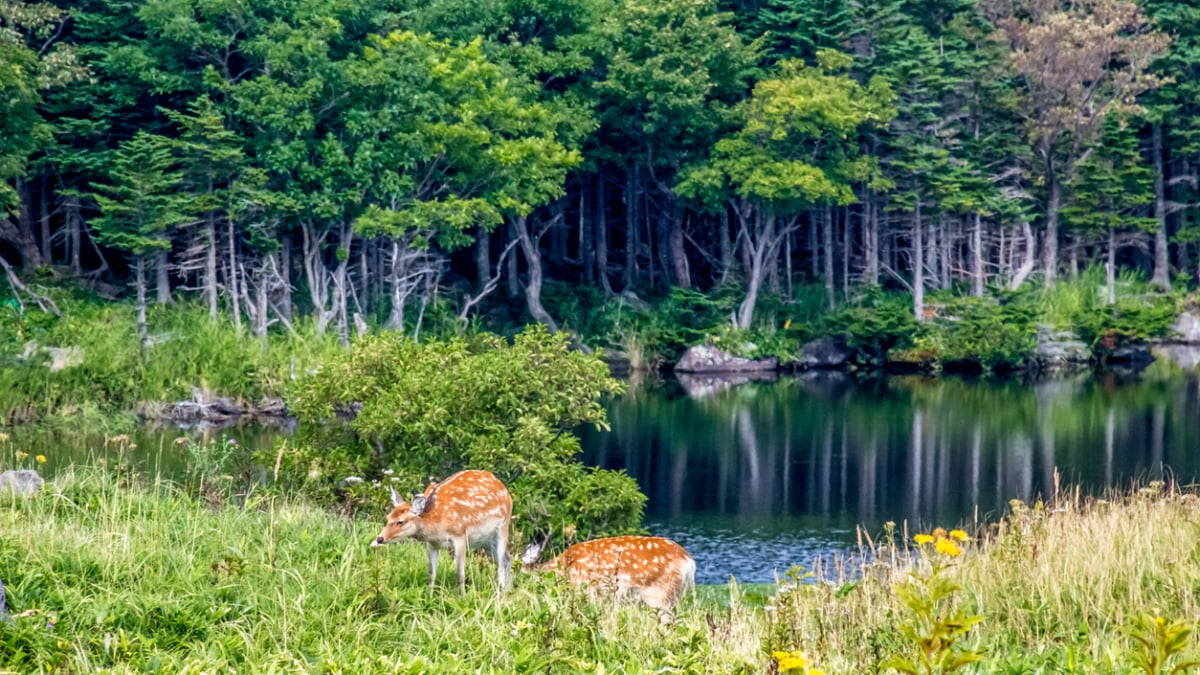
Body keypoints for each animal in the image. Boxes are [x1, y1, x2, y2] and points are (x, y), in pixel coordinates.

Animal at [369, 468, 511, 588]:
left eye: (400, 522)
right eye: (388, 518)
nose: (380, 539)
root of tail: (504, 488)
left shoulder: (460, 535)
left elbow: (460, 575)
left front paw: (462, 599)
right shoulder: (432, 543)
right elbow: (431, 574)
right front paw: (429, 598)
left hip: (503, 526)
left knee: (500, 566)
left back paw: (500, 594)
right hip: (485, 541)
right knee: (506, 559)